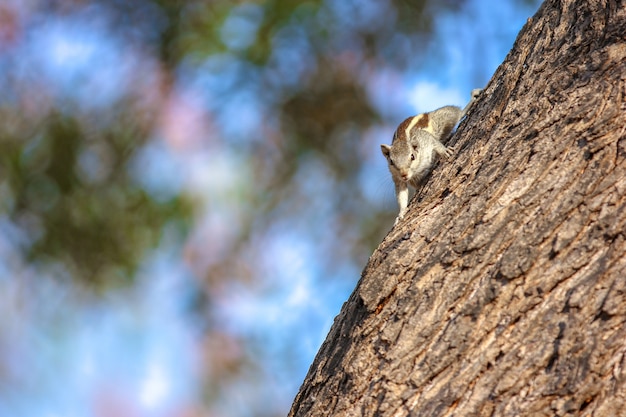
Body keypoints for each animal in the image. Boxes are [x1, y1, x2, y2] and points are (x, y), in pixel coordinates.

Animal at [380, 88, 478, 224]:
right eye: (391, 162)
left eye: (412, 157)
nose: (404, 174)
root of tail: (426, 113)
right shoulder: (397, 179)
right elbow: (402, 195)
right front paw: (401, 213)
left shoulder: (426, 140)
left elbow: (435, 143)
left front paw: (445, 151)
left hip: (443, 117)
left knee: (457, 113)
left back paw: (472, 100)